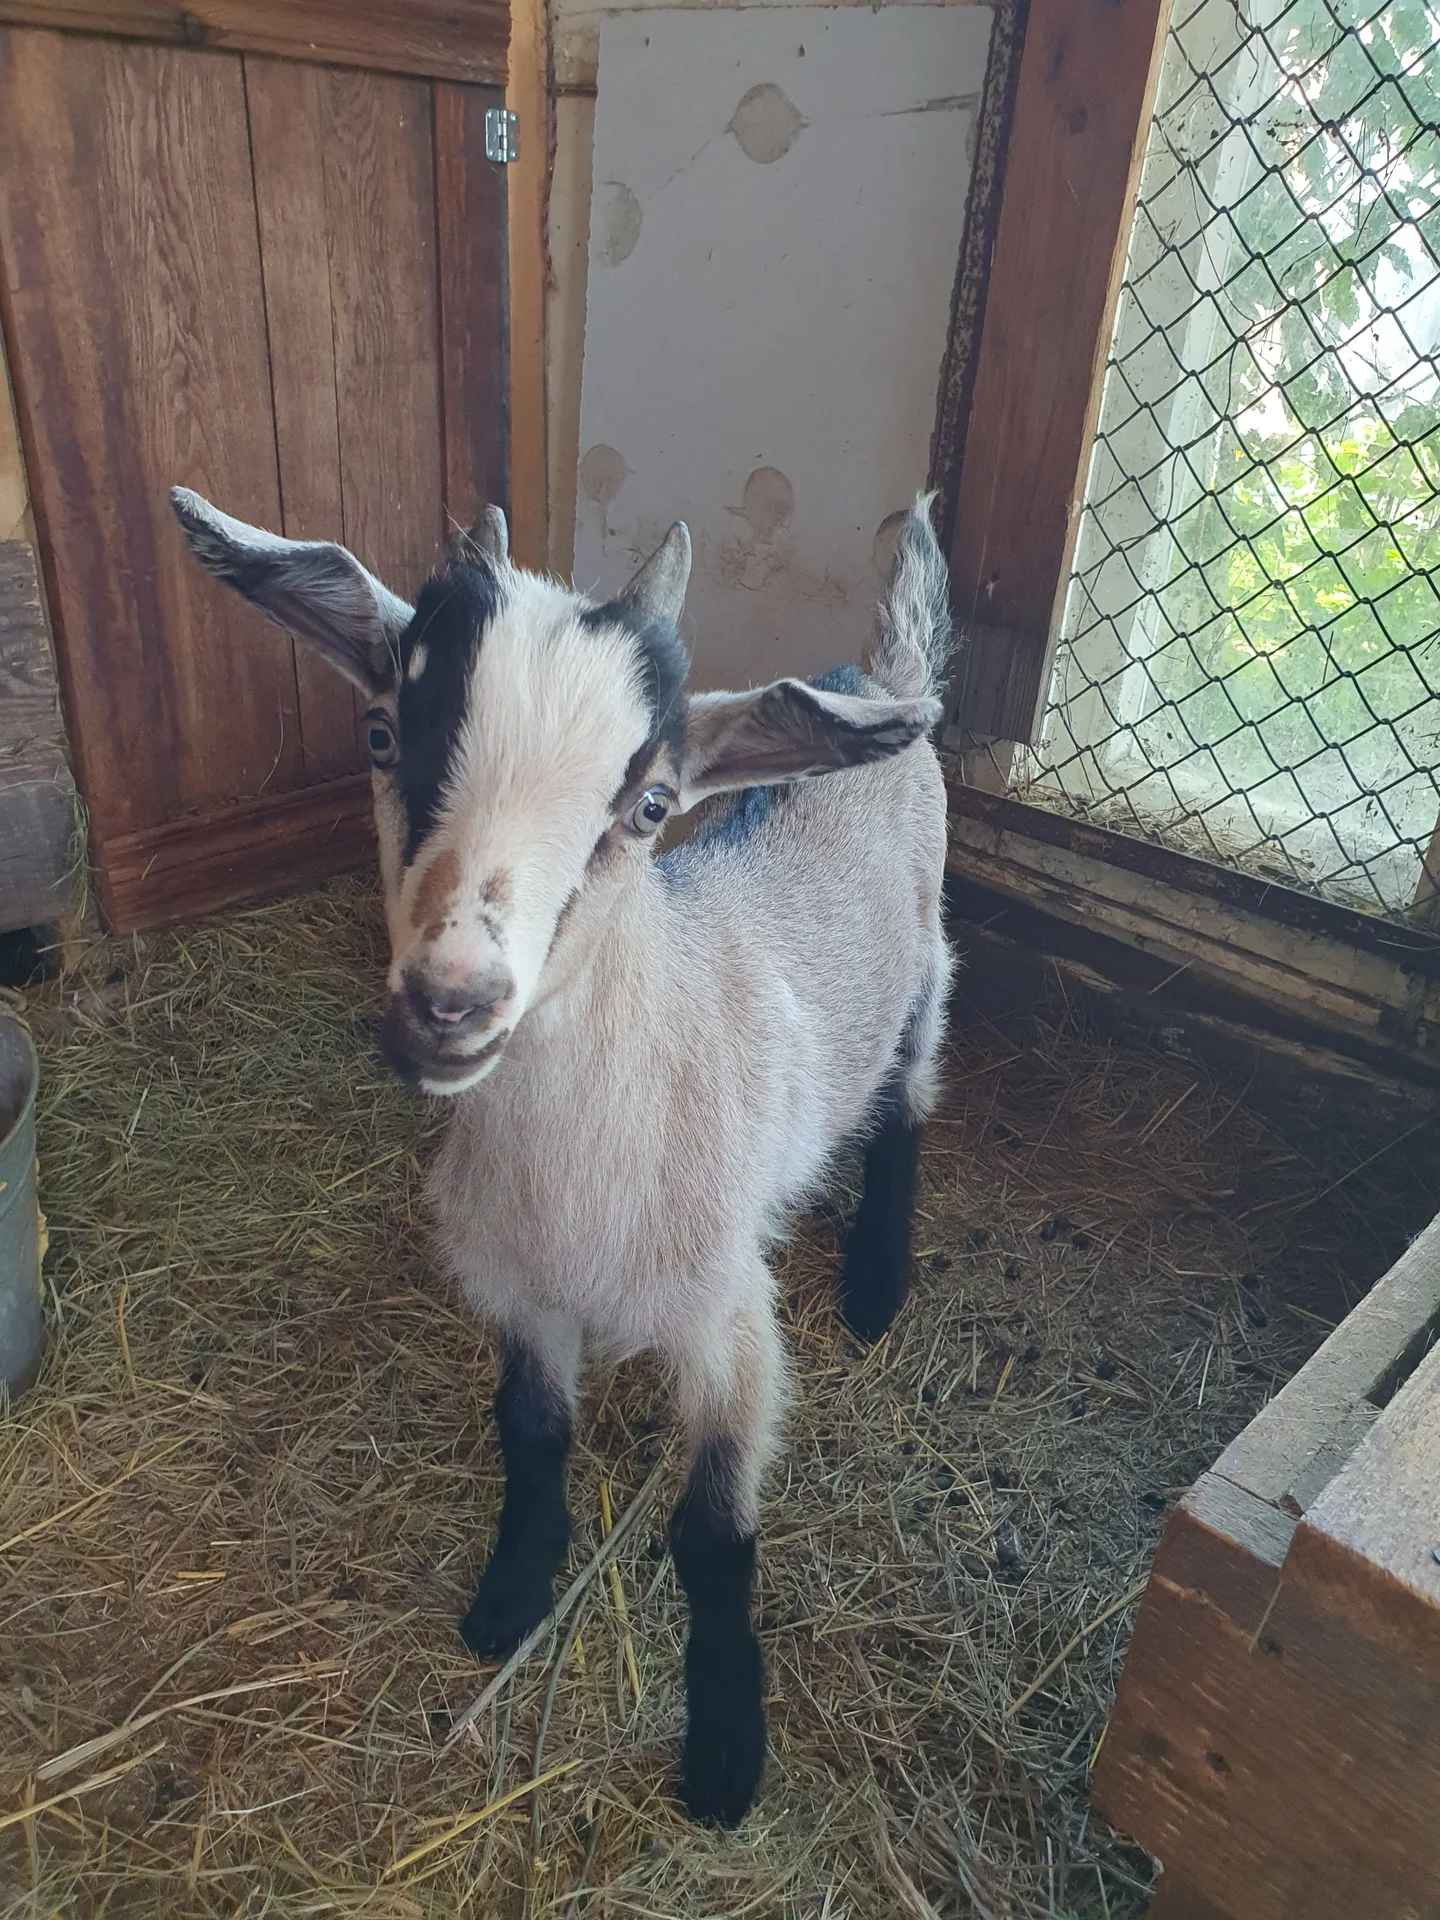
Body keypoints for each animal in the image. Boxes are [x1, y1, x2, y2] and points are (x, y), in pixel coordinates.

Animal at [172, 484, 953, 1827]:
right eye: (382, 733)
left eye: (649, 806)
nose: (452, 1001)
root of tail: (879, 669)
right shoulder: (520, 1288)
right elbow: (531, 1435)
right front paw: (506, 1601)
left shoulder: (727, 1317)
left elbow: (714, 1537)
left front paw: (726, 1752)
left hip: (933, 970)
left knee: (908, 1100)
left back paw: (875, 1282)